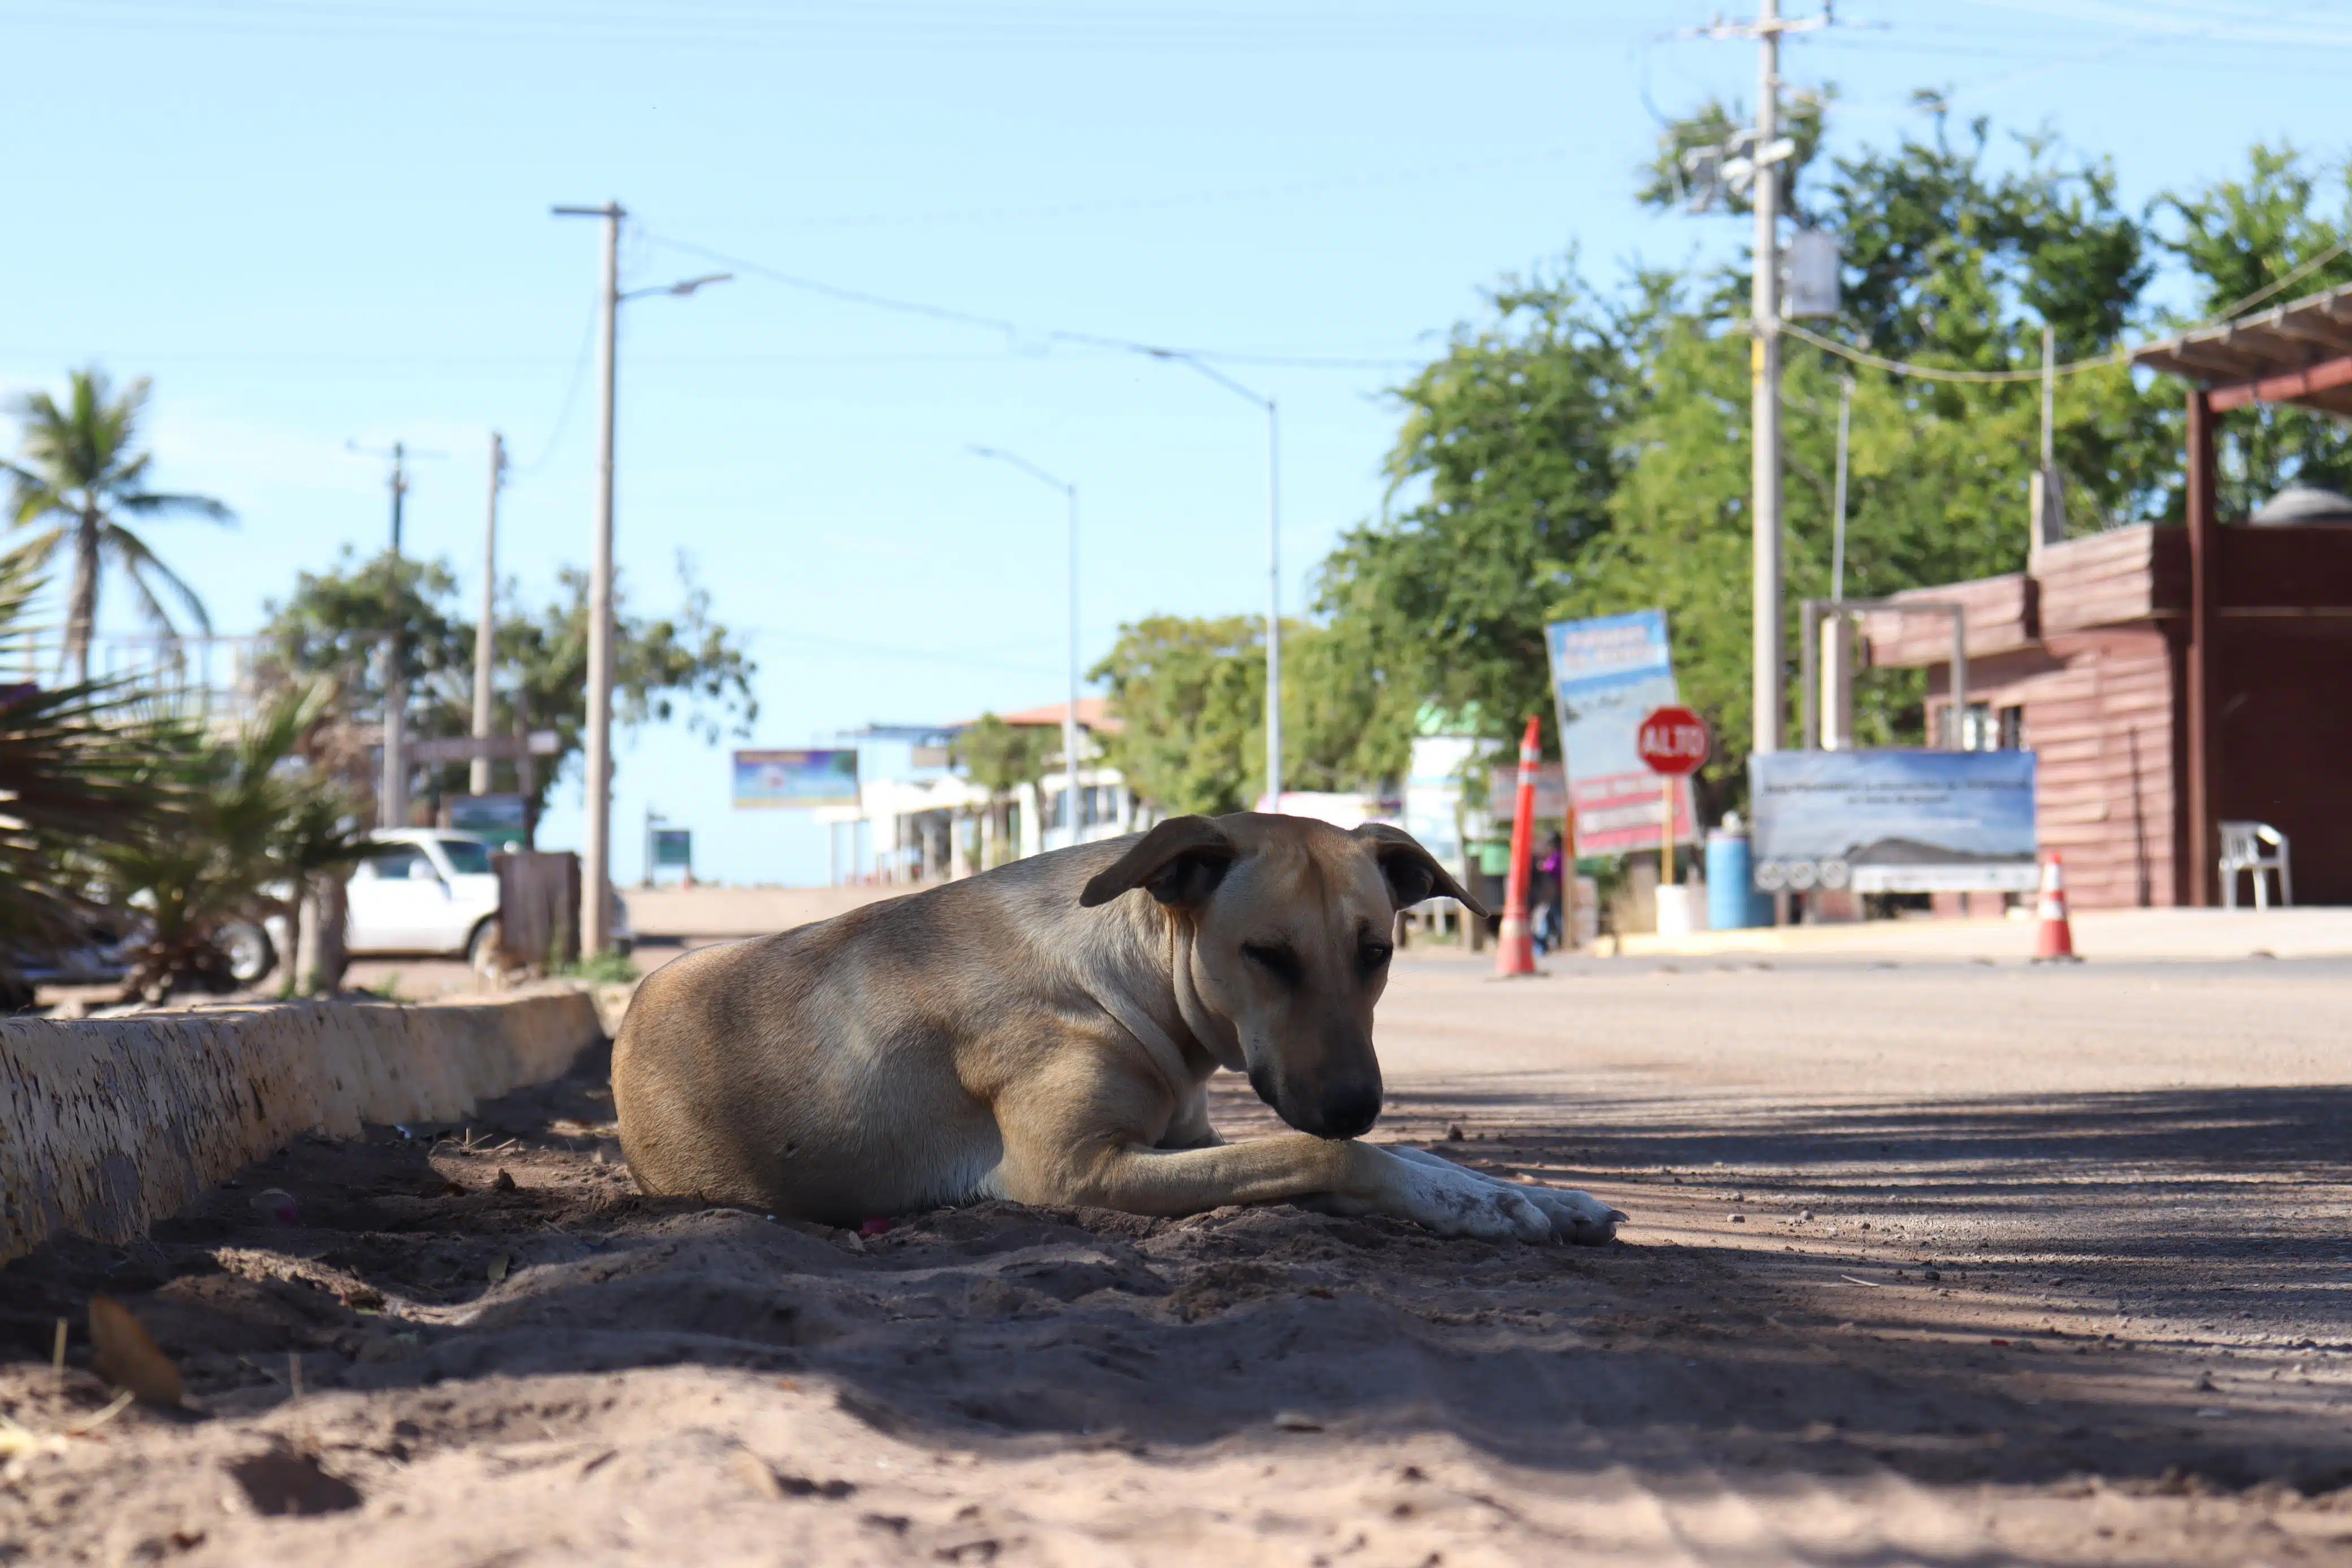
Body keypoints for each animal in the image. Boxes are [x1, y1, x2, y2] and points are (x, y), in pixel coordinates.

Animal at [616, 818, 1627, 1241]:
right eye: (1268, 955)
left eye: (1376, 951)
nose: (1355, 1103)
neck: (1128, 982)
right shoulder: (1073, 1172)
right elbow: (1327, 1157)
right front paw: (1484, 1207)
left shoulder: (1190, 1138)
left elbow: (1388, 1154)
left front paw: (1530, 1194)